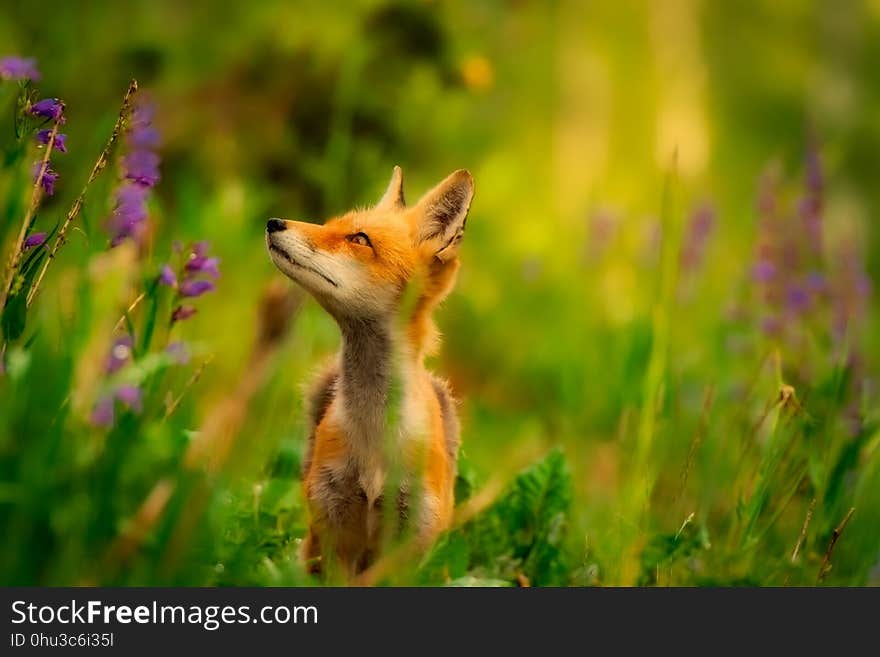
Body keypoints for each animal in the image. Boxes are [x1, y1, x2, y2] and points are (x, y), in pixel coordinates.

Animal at [264, 167, 474, 576]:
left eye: (359, 239)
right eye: (330, 224)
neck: (375, 439)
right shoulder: (334, 527)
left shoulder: (410, 539)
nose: (273, 222)